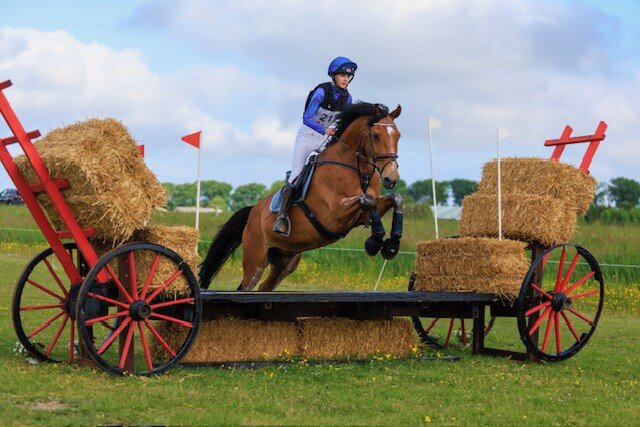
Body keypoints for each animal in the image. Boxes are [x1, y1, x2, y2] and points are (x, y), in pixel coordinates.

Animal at [199, 102, 404, 291]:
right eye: (376, 135)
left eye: (398, 136)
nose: (391, 178)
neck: (358, 169)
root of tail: (253, 212)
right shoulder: (335, 215)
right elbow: (367, 200)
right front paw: (375, 242)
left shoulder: (364, 215)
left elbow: (394, 199)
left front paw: (390, 244)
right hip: (255, 260)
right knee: (246, 287)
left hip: (286, 261)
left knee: (265, 287)